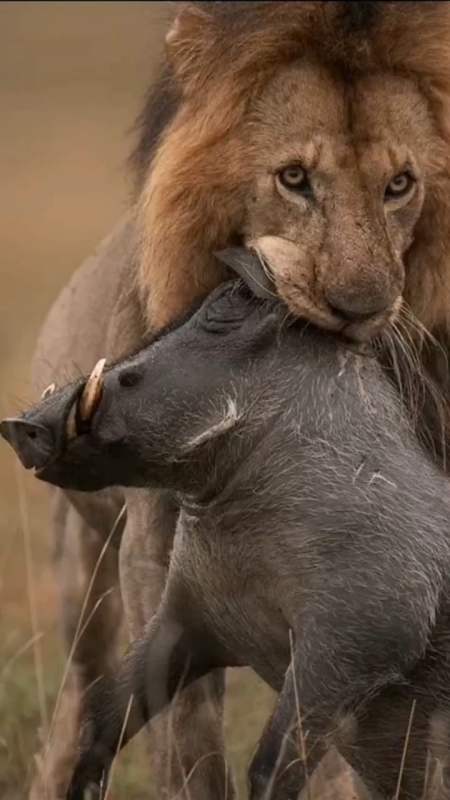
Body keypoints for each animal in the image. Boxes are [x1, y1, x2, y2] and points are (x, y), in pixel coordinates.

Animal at [31, 1, 450, 800]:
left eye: (401, 184)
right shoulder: (158, 565)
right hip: (81, 576)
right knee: (74, 699)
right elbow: (187, 749)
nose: (360, 307)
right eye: (294, 178)